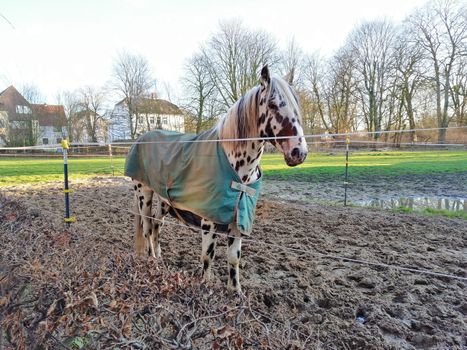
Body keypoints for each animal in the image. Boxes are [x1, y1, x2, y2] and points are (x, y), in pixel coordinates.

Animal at [125, 65, 308, 292]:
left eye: (296, 104)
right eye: (273, 104)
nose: (299, 152)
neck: (237, 169)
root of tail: (141, 138)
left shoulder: (238, 222)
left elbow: (234, 258)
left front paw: (235, 291)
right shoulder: (209, 222)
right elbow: (207, 257)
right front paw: (206, 287)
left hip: (164, 202)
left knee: (157, 226)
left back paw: (158, 258)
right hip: (144, 195)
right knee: (148, 229)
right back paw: (153, 263)